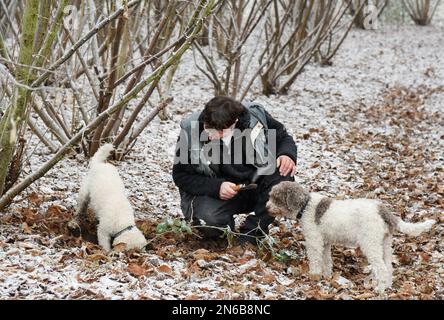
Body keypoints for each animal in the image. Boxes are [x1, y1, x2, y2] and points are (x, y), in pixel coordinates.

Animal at [266, 181, 436, 292]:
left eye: (276, 198)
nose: (266, 207)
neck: (306, 206)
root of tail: (383, 210)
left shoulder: (314, 241)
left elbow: (315, 260)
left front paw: (314, 276)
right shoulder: (325, 242)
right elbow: (327, 260)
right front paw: (327, 276)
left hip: (371, 243)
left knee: (381, 268)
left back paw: (379, 289)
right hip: (385, 243)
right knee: (388, 267)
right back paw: (387, 286)